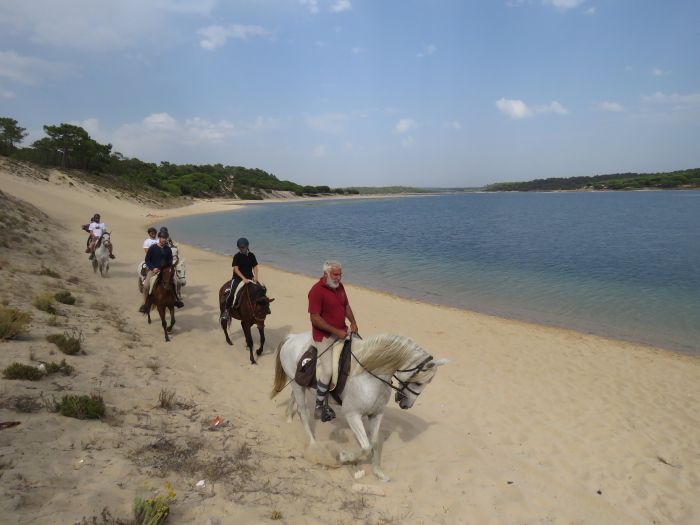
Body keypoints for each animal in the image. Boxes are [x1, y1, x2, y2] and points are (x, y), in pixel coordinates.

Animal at [270, 332, 446, 478]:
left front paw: (378, 472)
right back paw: (315, 447)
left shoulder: (376, 414)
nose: (406, 404)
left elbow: (374, 442)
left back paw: (288, 418)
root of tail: (292, 338)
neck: (370, 375)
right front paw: (343, 457)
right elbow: (366, 446)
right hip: (298, 386)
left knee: (294, 401)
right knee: (303, 414)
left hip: (299, 384)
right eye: (418, 383)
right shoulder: (352, 415)